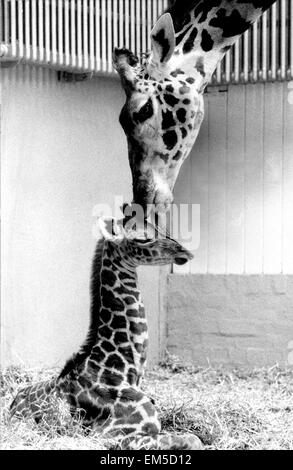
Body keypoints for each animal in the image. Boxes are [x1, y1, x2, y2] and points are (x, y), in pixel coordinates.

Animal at [9, 215, 201, 450]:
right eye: (143, 238)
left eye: (160, 227)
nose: (185, 252)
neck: (124, 370)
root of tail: (11, 405)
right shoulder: (109, 435)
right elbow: (193, 440)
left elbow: (193, 437)